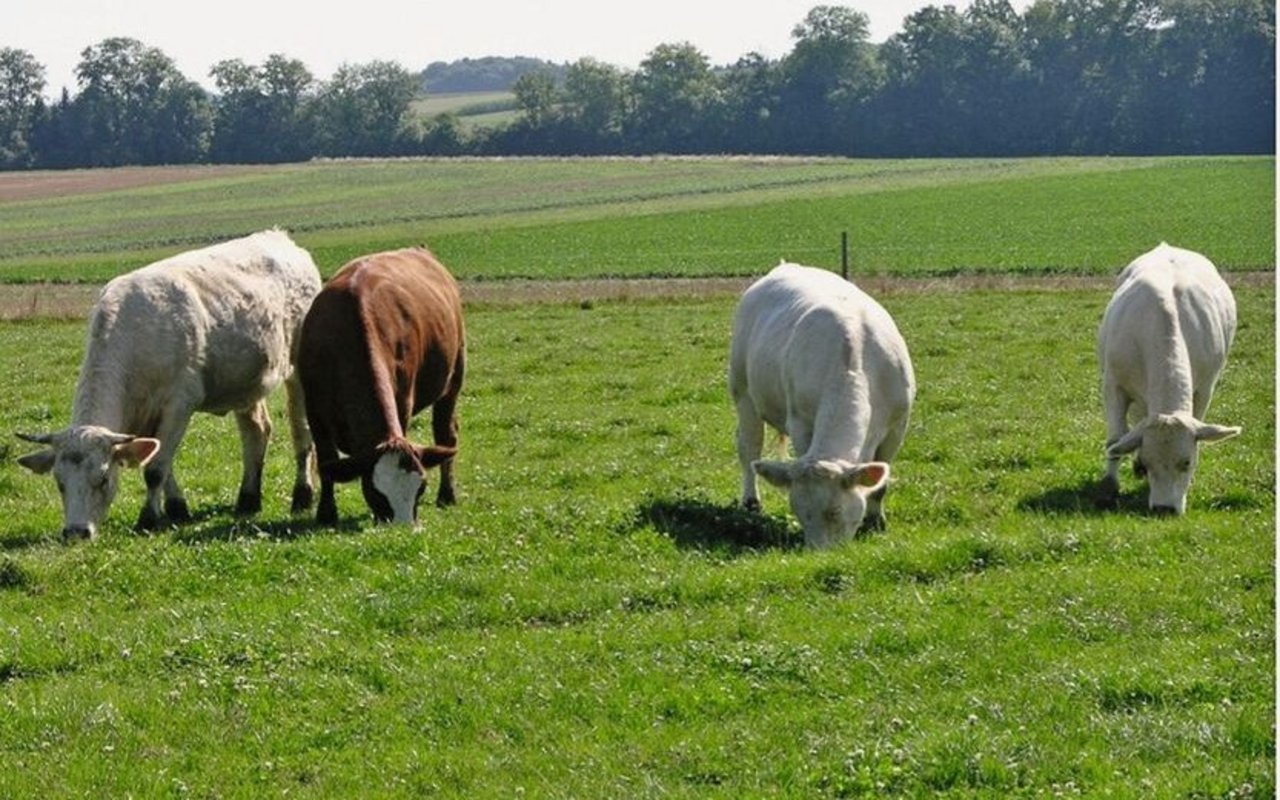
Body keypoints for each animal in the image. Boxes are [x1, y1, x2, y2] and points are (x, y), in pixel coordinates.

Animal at [16, 229, 322, 537]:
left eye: (102, 479)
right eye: (60, 483)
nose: (76, 532)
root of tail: (280, 238)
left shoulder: (179, 404)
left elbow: (154, 470)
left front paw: (148, 518)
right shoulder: (145, 418)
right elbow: (161, 460)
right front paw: (177, 508)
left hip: (298, 371)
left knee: (301, 431)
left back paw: (302, 495)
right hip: (246, 383)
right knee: (257, 432)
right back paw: (248, 499)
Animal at [296, 247, 463, 527]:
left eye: (420, 488)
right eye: (376, 492)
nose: (405, 529)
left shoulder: (403, 400)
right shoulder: (314, 410)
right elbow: (326, 460)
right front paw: (326, 514)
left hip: (453, 382)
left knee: (445, 436)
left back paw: (447, 494)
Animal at [727, 263, 916, 547]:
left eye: (835, 511)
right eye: (798, 511)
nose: (820, 553)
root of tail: (784, 266)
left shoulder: (897, 425)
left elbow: (880, 484)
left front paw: (876, 521)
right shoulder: (800, 422)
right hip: (743, 392)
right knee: (749, 447)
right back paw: (751, 502)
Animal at [1100, 240, 1239, 512]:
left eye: (1186, 462)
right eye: (1147, 463)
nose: (1164, 509)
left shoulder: (1205, 388)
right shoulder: (1114, 385)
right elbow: (1115, 440)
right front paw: (1110, 485)